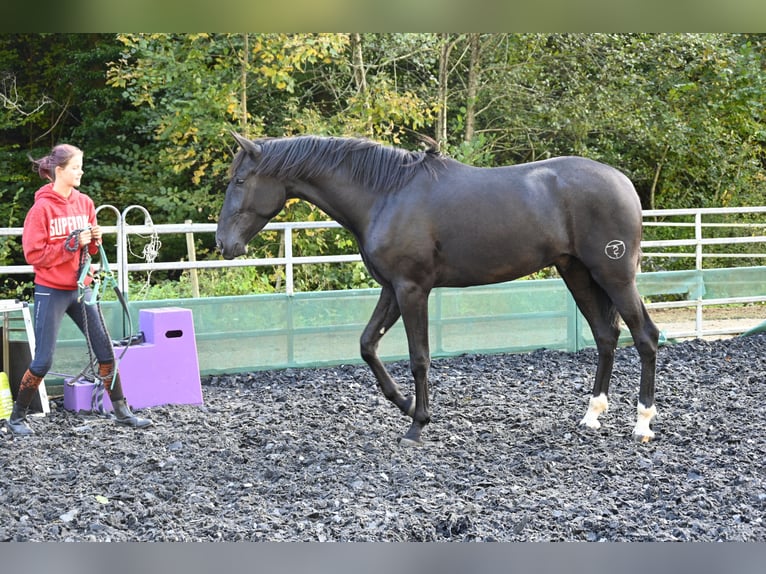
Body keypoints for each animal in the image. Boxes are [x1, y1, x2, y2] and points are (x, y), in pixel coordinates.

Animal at [214, 134, 660, 446]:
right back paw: (591, 415)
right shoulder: (391, 289)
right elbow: (367, 345)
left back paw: (642, 424)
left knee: (645, 337)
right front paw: (407, 404)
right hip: (578, 273)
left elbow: (419, 357)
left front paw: (417, 424)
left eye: (240, 179)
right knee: (606, 335)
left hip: (615, 275)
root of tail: (623, 183)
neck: (386, 195)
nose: (223, 244)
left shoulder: (413, 290)